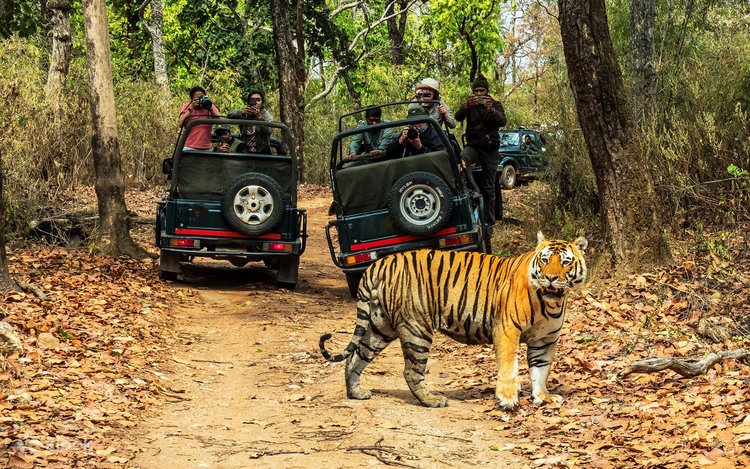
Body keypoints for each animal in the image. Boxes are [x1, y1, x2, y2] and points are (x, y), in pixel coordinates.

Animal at [320, 231, 588, 410]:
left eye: (565, 262)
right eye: (545, 260)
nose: (551, 278)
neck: (551, 302)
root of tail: (379, 263)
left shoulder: (545, 339)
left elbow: (541, 370)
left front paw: (543, 396)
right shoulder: (507, 329)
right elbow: (508, 366)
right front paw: (508, 399)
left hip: (380, 326)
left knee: (355, 357)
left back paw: (356, 392)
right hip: (416, 329)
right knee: (411, 371)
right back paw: (432, 400)